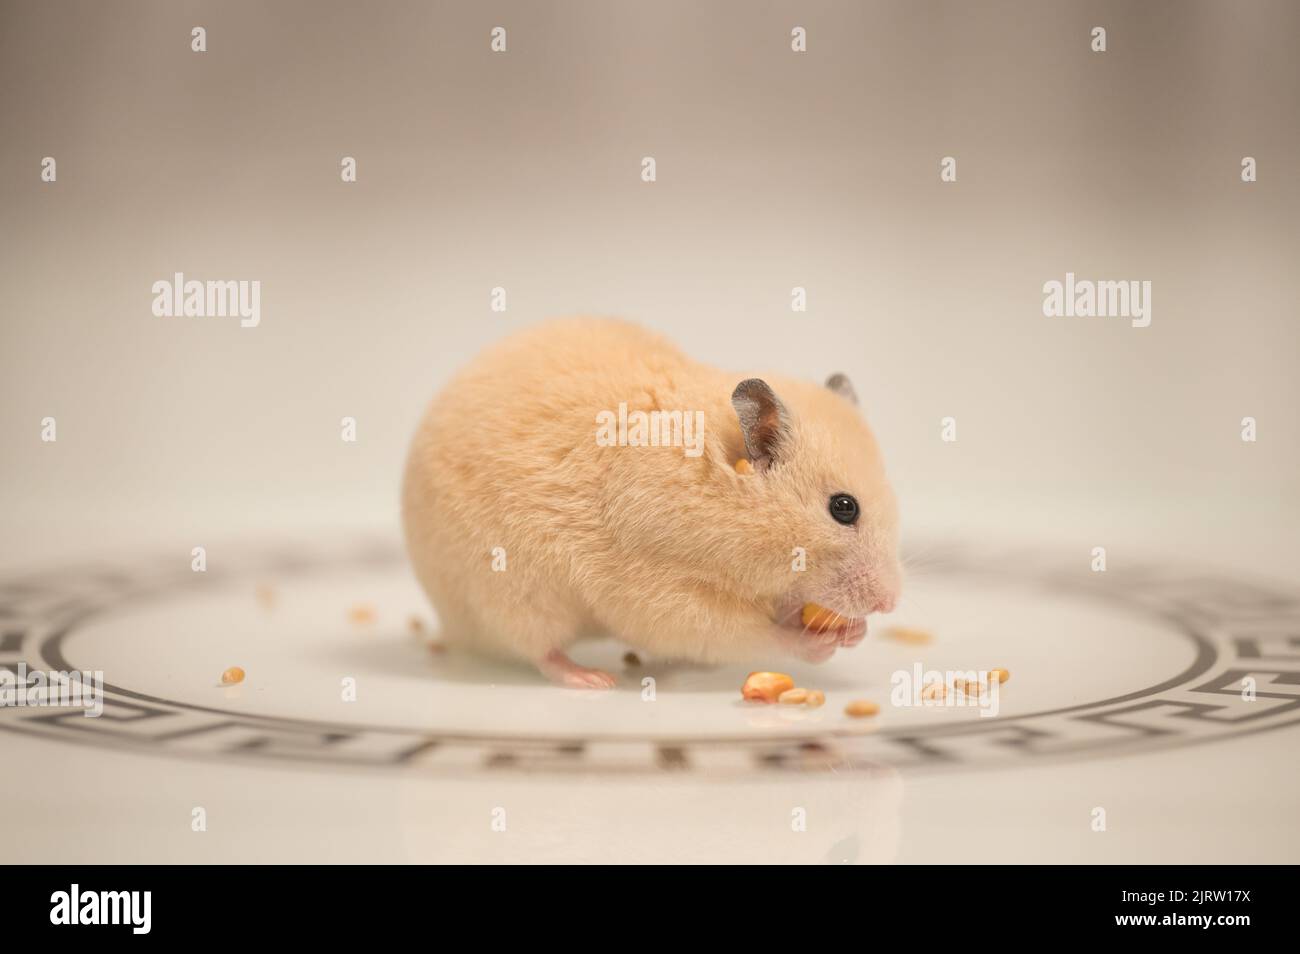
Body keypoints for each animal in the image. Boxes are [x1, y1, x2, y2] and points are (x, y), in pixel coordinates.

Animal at [401, 318, 901, 688]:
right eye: (843, 508)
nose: (891, 603)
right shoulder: (659, 592)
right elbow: (750, 634)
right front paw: (822, 641)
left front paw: (855, 631)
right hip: (513, 598)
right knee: (540, 650)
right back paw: (592, 678)